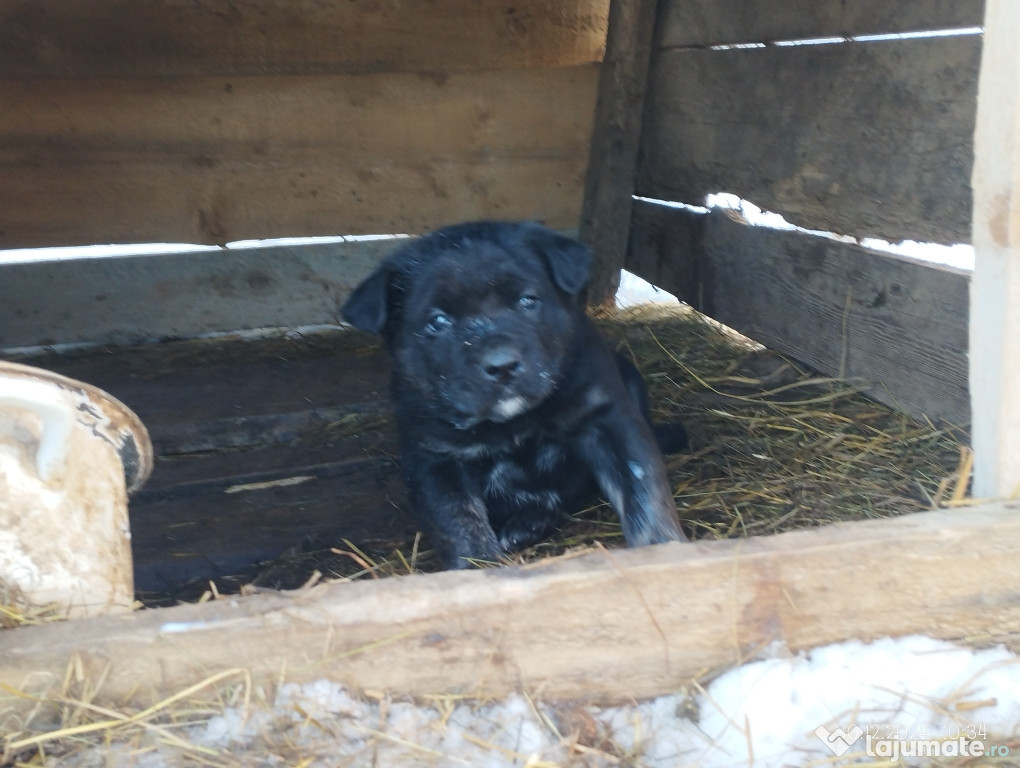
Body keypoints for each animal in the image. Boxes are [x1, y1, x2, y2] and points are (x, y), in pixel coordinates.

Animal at [340, 218, 685, 567]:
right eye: (437, 321)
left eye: (528, 301)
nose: (501, 365)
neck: (513, 423)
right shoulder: (437, 458)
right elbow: (458, 523)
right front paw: (477, 568)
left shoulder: (607, 420)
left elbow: (643, 494)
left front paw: (662, 551)